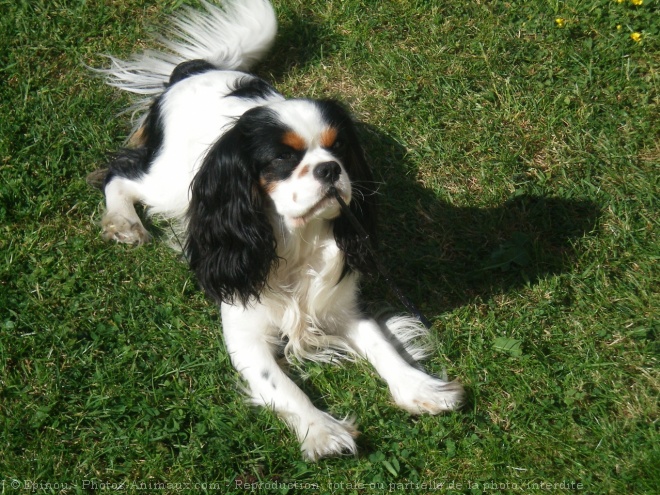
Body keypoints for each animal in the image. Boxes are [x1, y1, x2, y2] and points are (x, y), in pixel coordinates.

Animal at [94, 0, 464, 462]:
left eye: (340, 147)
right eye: (283, 159)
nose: (330, 169)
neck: (296, 239)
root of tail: (194, 72)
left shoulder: (339, 307)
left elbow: (381, 344)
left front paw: (421, 388)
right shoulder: (244, 335)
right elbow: (284, 386)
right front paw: (321, 431)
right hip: (172, 184)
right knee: (120, 175)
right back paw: (124, 223)